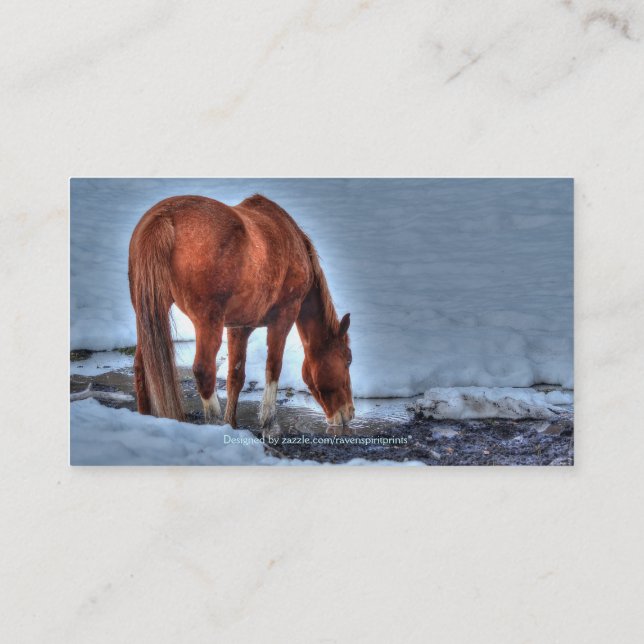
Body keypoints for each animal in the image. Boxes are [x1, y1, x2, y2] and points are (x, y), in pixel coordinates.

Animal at [128, 193, 355, 430]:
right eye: (348, 359)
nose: (350, 412)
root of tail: (165, 216)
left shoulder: (239, 327)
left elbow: (235, 376)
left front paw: (232, 422)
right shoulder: (284, 316)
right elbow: (273, 367)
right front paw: (268, 422)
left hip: (148, 315)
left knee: (141, 367)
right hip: (208, 322)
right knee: (203, 370)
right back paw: (215, 422)